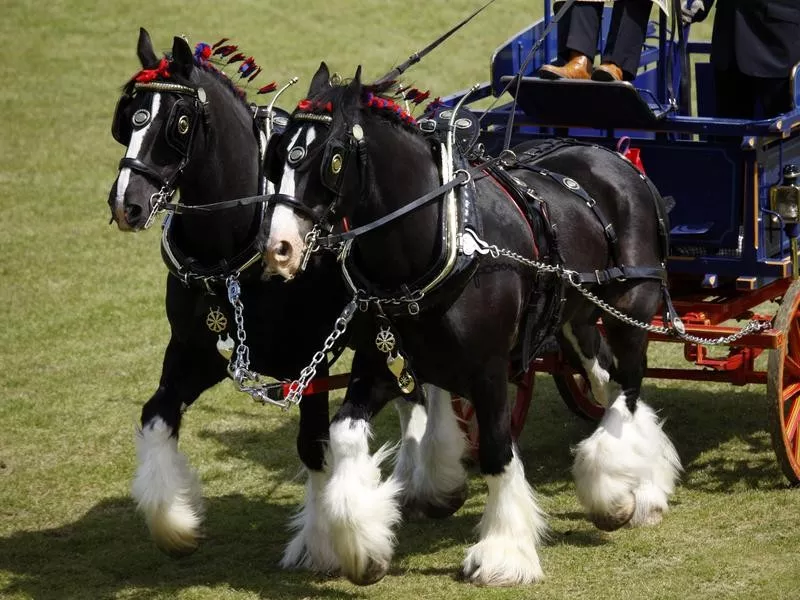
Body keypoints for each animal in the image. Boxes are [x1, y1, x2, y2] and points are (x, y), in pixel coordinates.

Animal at [104, 28, 462, 564]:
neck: (233, 253)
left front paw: (323, 543)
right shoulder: (195, 351)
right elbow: (155, 416)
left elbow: (312, 446)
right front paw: (176, 524)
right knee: (412, 392)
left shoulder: (307, 364)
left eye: (178, 123)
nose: (126, 204)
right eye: (128, 117)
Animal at [258, 64, 680, 584]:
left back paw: (626, 494)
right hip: (576, 320)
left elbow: (498, 451)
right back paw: (643, 481)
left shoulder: (489, 370)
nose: (279, 248)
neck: (440, 242)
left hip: (632, 309)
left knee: (629, 385)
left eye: (331, 159)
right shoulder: (383, 365)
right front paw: (362, 546)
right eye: (276, 155)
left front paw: (504, 553)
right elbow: (343, 434)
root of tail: (617, 158)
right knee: (606, 379)